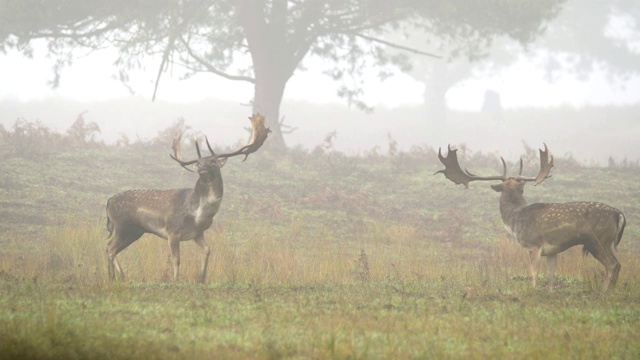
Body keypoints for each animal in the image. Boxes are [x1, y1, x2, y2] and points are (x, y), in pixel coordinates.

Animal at [105, 114, 270, 282]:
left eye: (212, 161)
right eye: (198, 162)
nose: (201, 167)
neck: (198, 215)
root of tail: (109, 201)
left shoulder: (198, 233)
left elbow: (207, 250)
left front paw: (201, 278)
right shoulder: (172, 231)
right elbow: (176, 259)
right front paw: (176, 280)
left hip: (136, 231)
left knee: (112, 249)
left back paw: (119, 276)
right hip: (122, 225)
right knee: (110, 248)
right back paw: (113, 277)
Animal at [436, 144, 624, 292]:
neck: (514, 219)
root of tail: (618, 213)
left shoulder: (533, 245)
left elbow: (533, 272)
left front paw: (533, 290)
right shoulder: (552, 250)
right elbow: (550, 275)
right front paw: (549, 292)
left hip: (596, 240)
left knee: (612, 265)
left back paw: (603, 291)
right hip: (606, 242)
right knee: (618, 264)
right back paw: (612, 291)